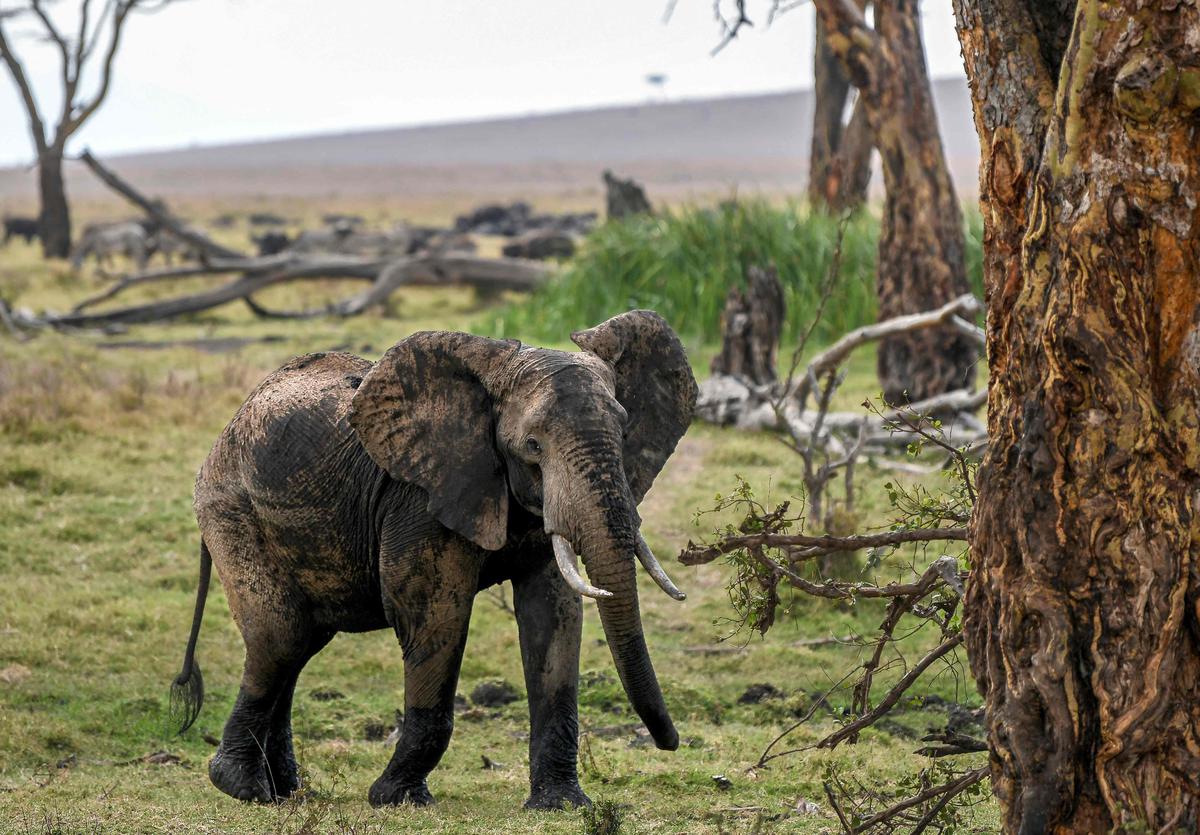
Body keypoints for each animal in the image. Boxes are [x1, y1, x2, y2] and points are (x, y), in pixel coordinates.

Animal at [168, 307, 696, 811]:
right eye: (532, 446)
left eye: (624, 433)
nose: (670, 742)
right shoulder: (418, 499)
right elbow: (435, 616)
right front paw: (396, 798)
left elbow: (554, 616)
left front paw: (560, 804)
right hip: (231, 510)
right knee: (281, 637)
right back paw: (242, 787)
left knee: (298, 647)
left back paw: (286, 792)